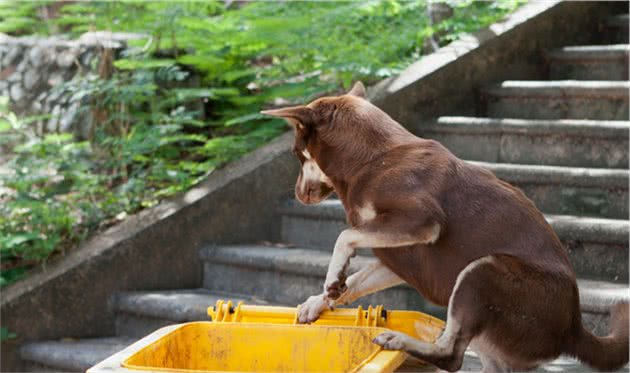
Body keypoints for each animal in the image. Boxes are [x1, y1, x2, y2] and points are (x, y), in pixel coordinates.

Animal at [262, 82, 630, 372]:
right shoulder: (395, 257)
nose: (298, 194)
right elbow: (353, 280)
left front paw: (331, 280)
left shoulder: (421, 222)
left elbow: (344, 236)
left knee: (451, 356)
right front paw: (319, 299)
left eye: (297, 153)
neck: (372, 159)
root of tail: (573, 327)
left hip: (482, 272)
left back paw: (400, 340)